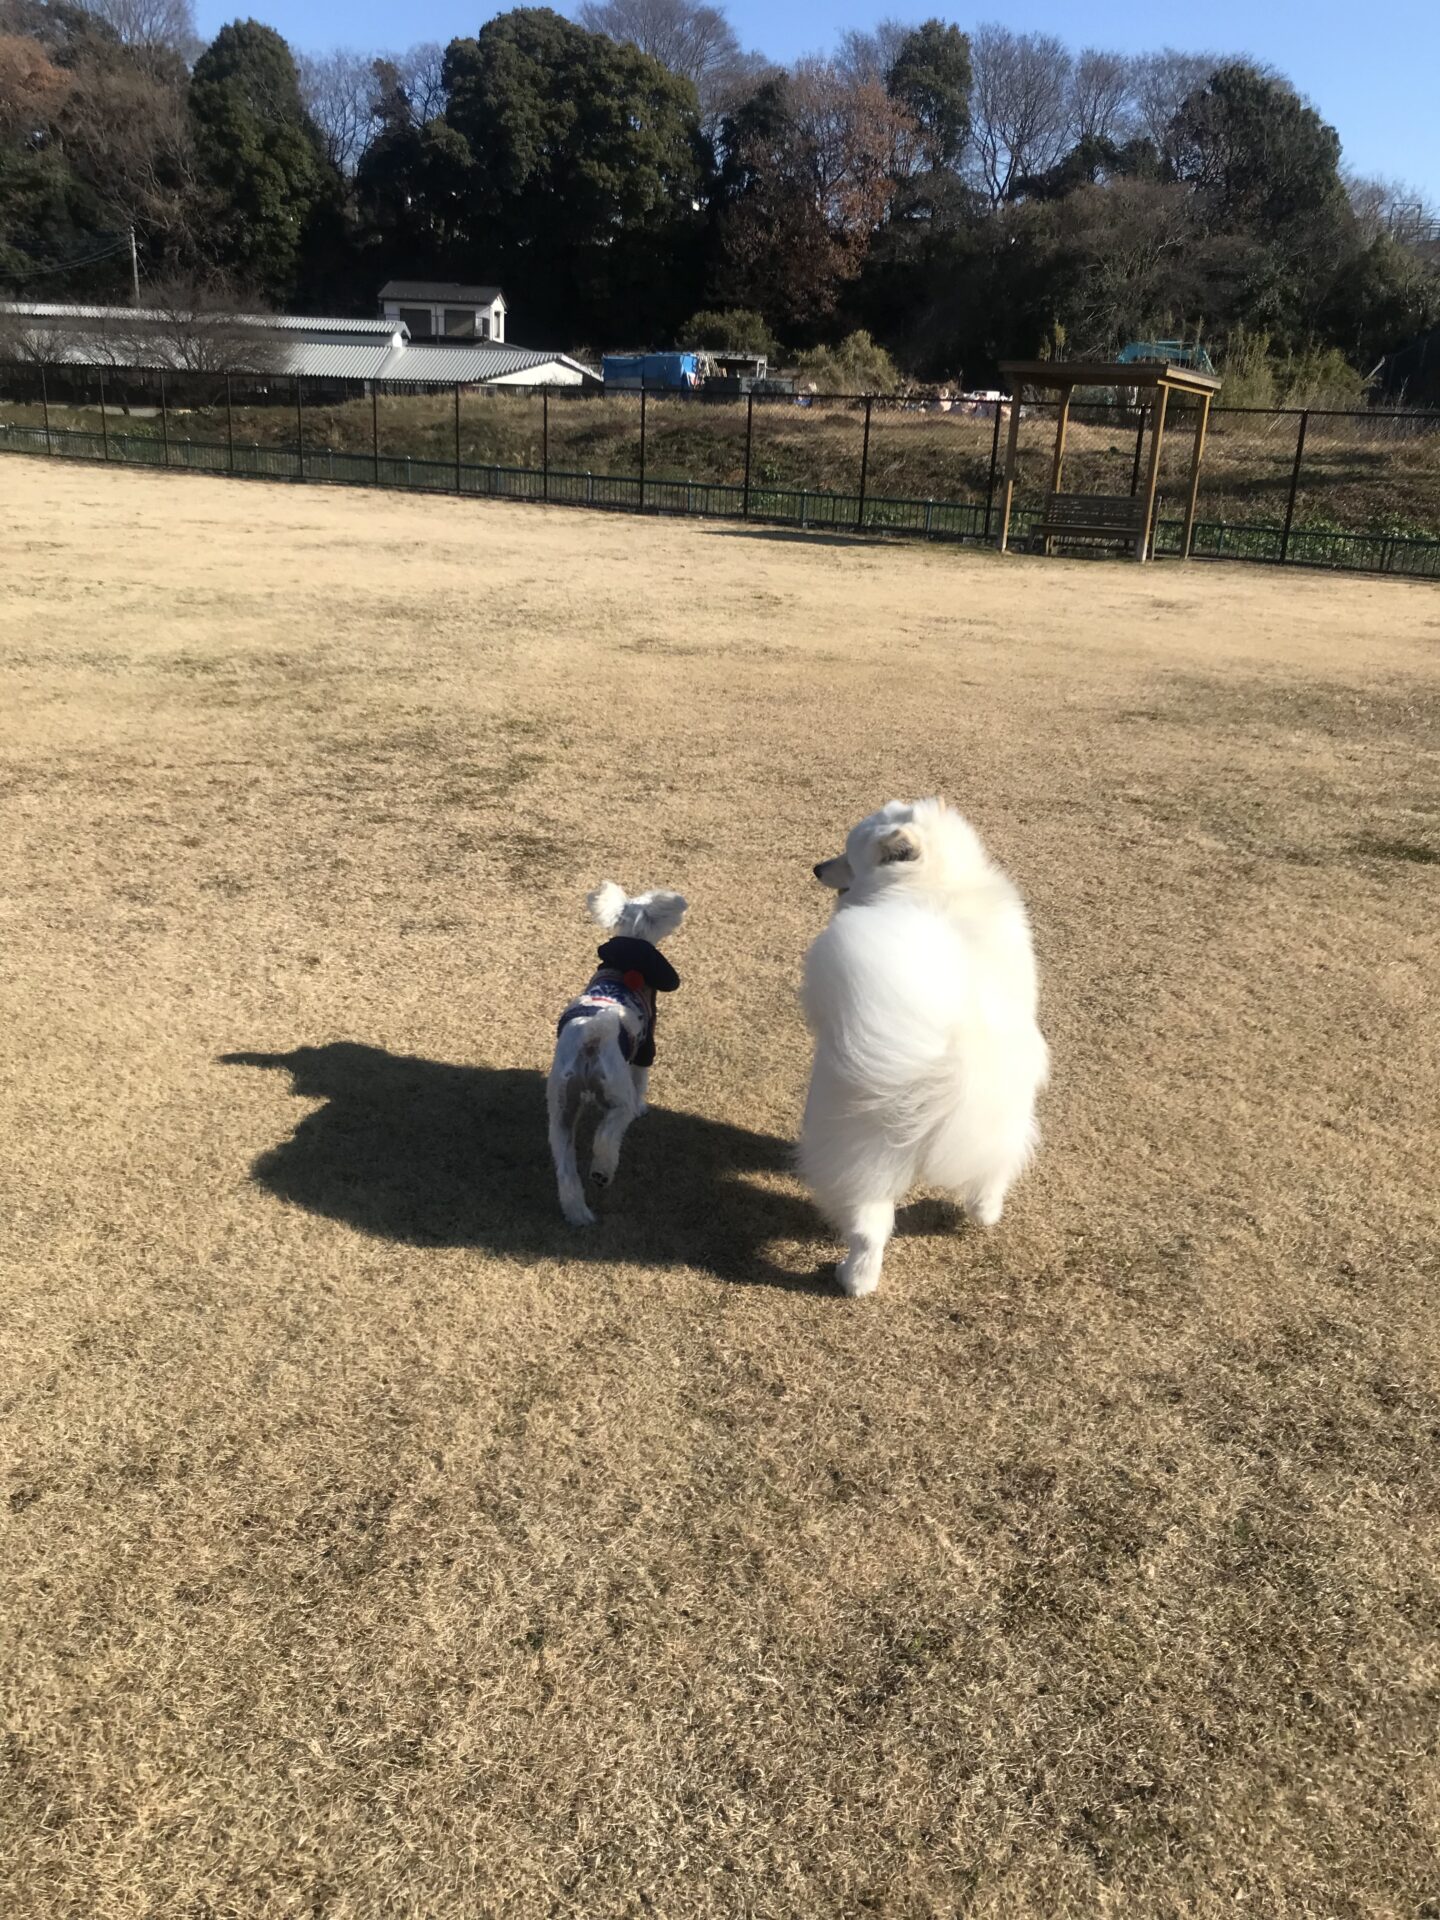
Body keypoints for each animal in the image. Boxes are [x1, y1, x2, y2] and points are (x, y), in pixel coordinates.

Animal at [547, 882, 688, 1226]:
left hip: (560, 1108)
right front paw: (643, 1107)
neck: (629, 960)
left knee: (566, 1170)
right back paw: (602, 1171)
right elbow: (642, 1081)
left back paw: (578, 1214)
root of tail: (592, 1033)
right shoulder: (646, 1049)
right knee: (609, 1133)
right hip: (615, 1093)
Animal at [800, 799, 1048, 1297]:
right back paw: (983, 1213)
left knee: (868, 1231)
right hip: (1004, 1125)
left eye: (847, 858)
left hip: (858, 1156)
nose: (816, 868)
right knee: (993, 1178)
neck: (935, 883)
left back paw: (852, 1280)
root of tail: (948, 1071)